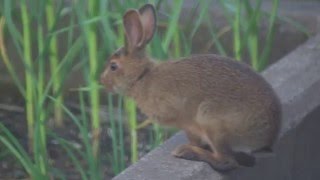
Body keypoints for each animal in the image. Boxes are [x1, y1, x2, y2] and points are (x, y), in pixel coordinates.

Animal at [100, 3, 280, 171]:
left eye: (113, 66)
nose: (102, 81)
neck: (142, 76)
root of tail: (266, 139)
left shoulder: (186, 121)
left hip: (211, 120)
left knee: (226, 161)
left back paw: (188, 152)